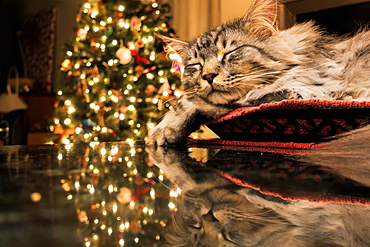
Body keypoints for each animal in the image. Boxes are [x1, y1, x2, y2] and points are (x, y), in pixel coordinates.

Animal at [147, 0, 370, 147]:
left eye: (229, 53)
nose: (208, 76)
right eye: (197, 65)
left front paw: (161, 130)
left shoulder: (311, 89)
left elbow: (195, 103)